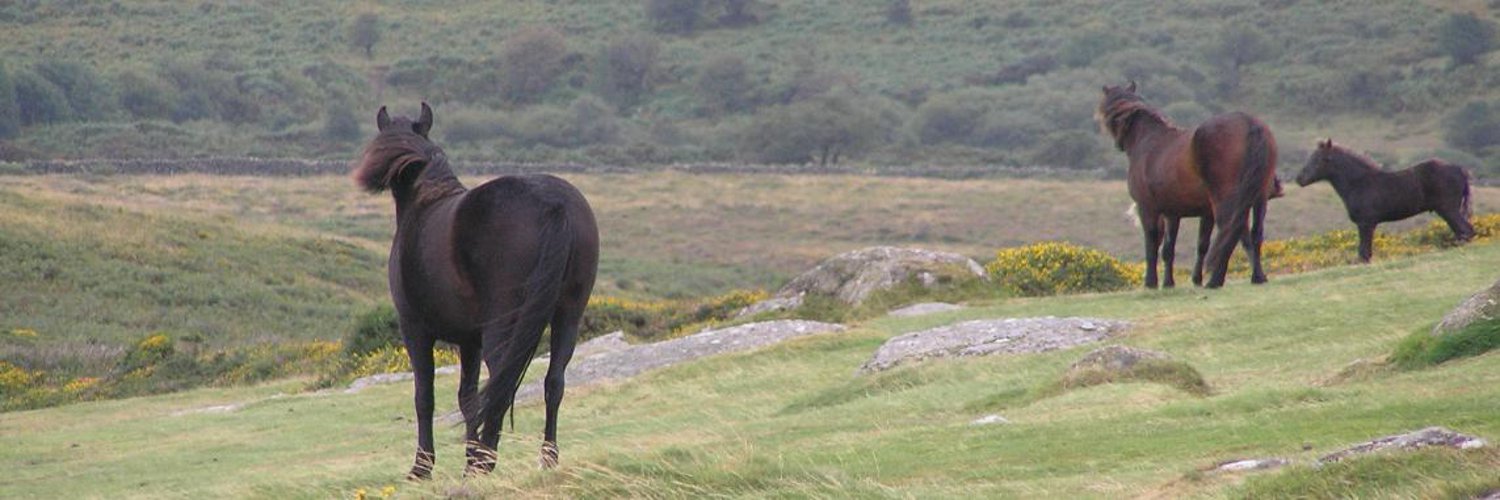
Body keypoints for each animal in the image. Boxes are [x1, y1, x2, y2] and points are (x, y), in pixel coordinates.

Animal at [354, 102, 600, 480]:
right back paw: (545, 458)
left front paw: (423, 467)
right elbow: (467, 398)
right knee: (553, 382)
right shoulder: (469, 340)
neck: (426, 202)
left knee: (502, 381)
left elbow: (424, 396)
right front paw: (468, 458)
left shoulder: (415, 330)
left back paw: (487, 460)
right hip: (568, 315)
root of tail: (553, 204)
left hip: (504, 324)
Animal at [1104, 81, 1278, 288]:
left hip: (1228, 202)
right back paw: (1257, 277)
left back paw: (1216, 280)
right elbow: (1177, 247)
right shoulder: (1177, 213)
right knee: (1254, 234)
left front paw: (1151, 282)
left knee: (1231, 231)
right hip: (1258, 199)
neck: (1148, 141)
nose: (1118, 144)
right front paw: (1173, 281)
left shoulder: (1148, 208)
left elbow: (1152, 242)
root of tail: (1250, 123)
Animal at [1290, 137, 1476, 261]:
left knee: (1466, 231)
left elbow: (1364, 254)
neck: (1359, 183)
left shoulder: (1366, 223)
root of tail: (1461, 170)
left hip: (1448, 208)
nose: (1300, 179)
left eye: (1321, 159)